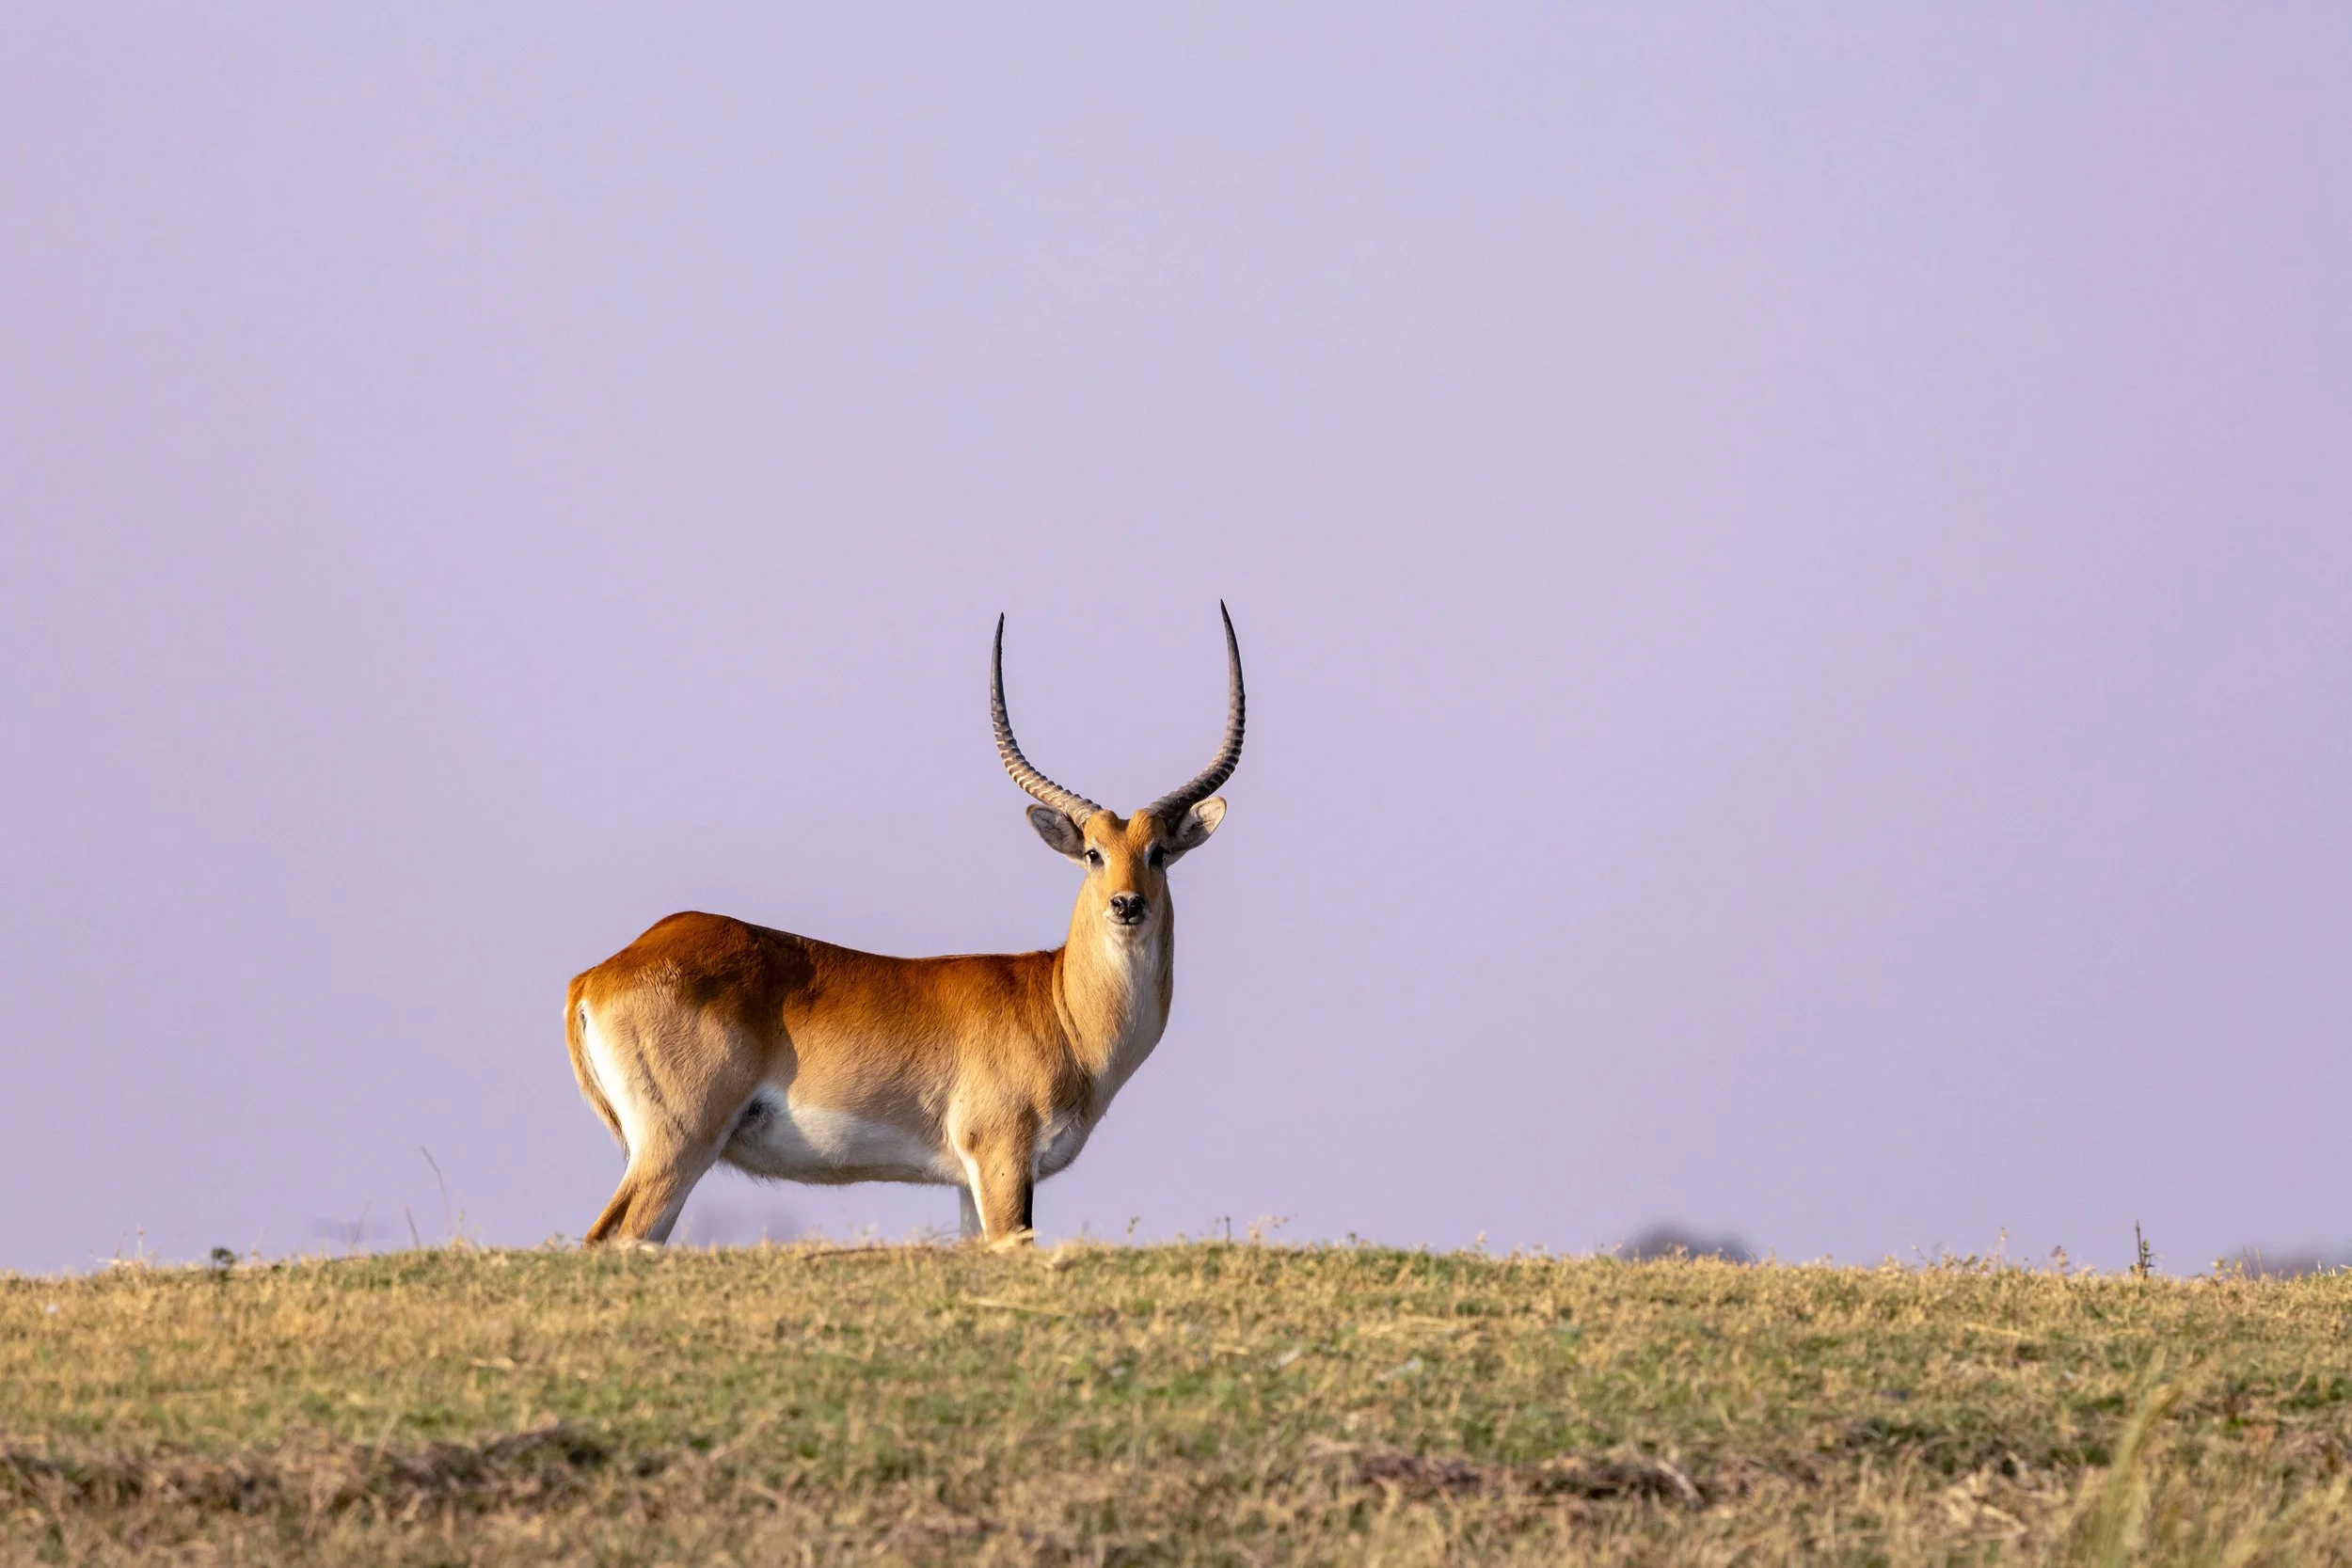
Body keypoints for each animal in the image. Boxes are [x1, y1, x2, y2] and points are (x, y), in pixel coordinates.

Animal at [563, 606, 1244, 1248]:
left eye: (1158, 851)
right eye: (1094, 853)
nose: (1127, 905)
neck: (1057, 1005)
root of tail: (597, 976)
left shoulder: (969, 1183)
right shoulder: (1001, 1159)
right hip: (678, 1146)